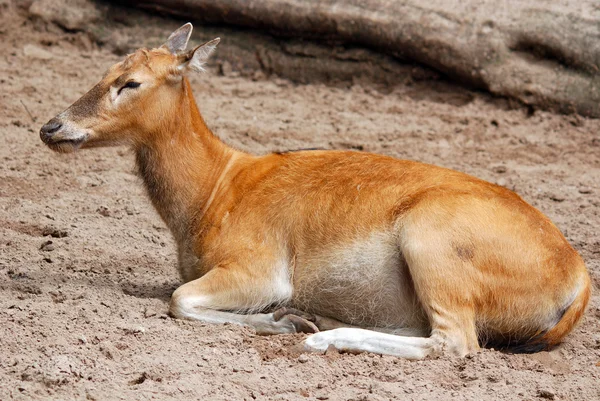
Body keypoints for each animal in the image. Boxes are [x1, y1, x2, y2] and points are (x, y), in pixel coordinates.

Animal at [38, 23, 592, 358]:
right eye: (106, 71)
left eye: (130, 82)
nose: (51, 127)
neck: (212, 193)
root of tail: (579, 279)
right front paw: (291, 319)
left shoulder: (260, 268)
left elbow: (179, 299)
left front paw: (284, 323)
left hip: (432, 238)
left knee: (454, 341)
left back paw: (319, 335)